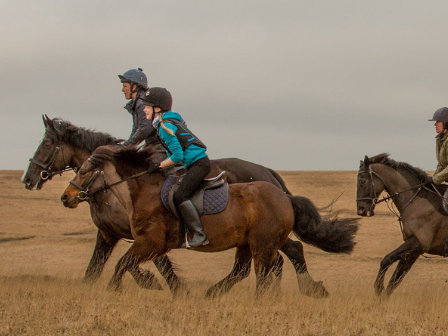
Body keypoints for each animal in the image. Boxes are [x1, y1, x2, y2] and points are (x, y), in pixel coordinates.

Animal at [21, 115, 328, 296]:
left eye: (46, 144)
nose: (28, 179)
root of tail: (269, 174)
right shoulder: (109, 234)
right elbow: (95, 268)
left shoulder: (147, 240)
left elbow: (138, 265)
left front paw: (156, 285)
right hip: (252, 241)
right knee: (267, 262)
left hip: (261, 239)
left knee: (286, 254)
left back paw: (307, 289)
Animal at [60, 147, 360, 296]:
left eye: (84, 171)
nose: (66, 197)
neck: (144, 191)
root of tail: (284, 196)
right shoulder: (139, 242)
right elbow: (118, 263)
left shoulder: (149, 243)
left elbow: (122, 264)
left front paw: (115, 290)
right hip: (249, 243)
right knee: (250, 269)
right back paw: (215, 293)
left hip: (261, 243)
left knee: (265, 270)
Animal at [356, 152, 448, 296]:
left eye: (362, 181)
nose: (360, 210)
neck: (416, 201)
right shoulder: (413, 251)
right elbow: (395, 280)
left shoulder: (418, 242)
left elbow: (386, 260)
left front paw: (378, 288)